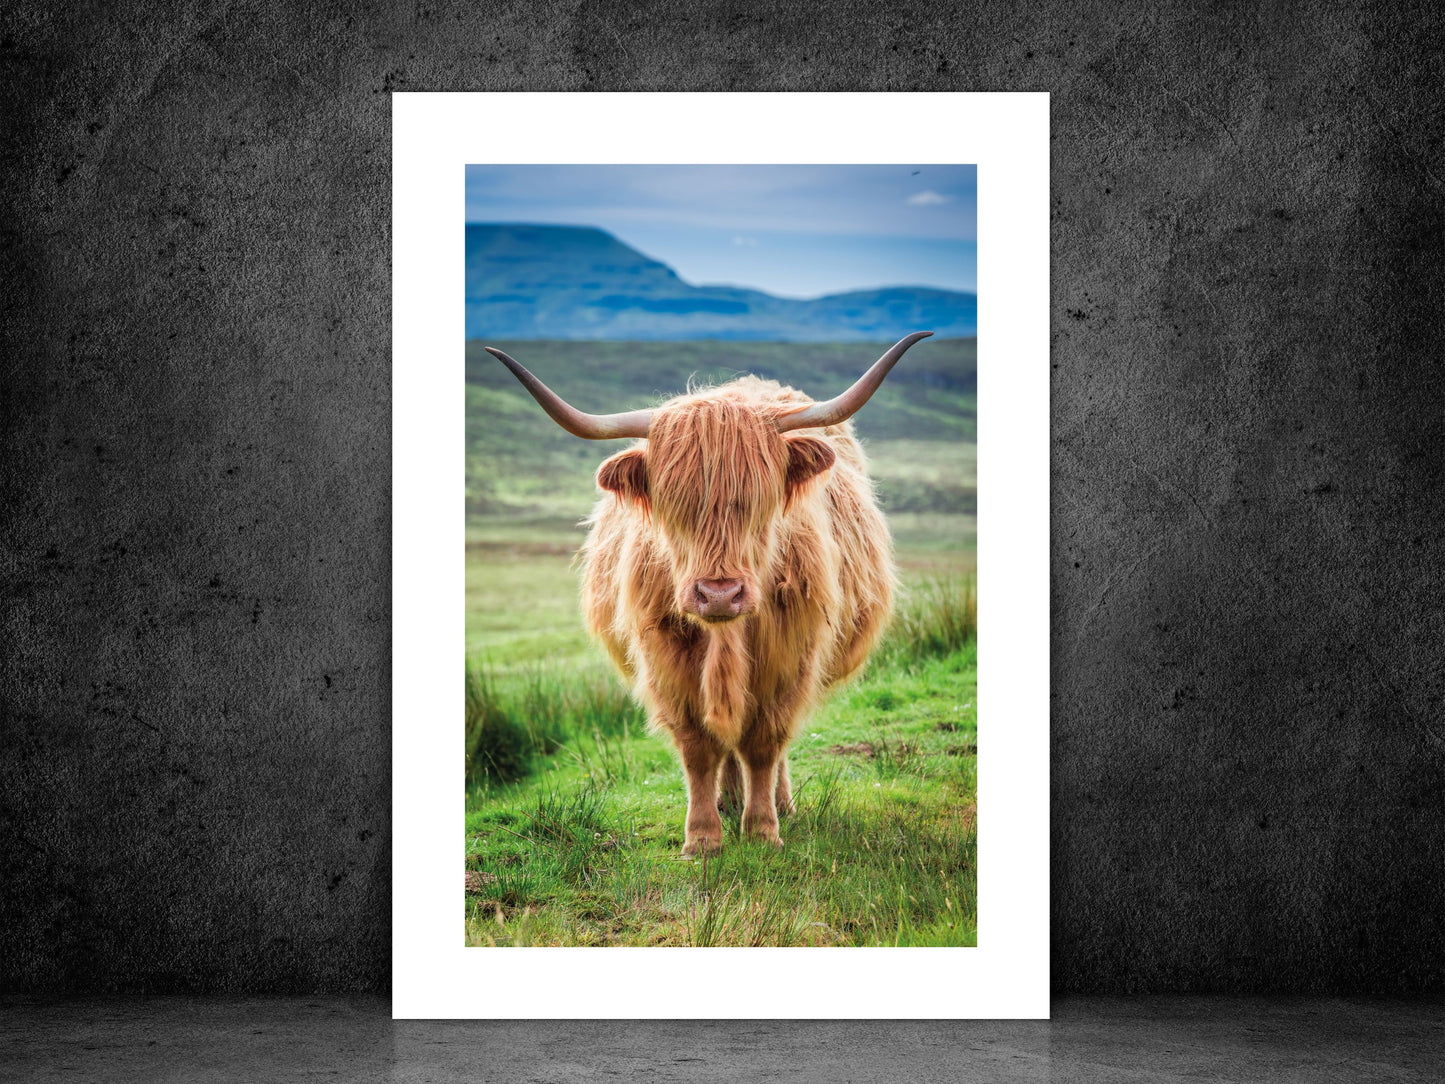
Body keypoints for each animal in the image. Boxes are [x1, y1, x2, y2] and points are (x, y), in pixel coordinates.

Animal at [486, 332, 931, 855]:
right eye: (673, 504)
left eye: (760, 501)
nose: (719, 595)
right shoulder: (666, 659)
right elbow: (699, 748)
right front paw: (702, 837)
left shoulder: (789, 658)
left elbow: (764, 744)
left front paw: (762, 830)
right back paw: (727, 800)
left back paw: (779, 804)